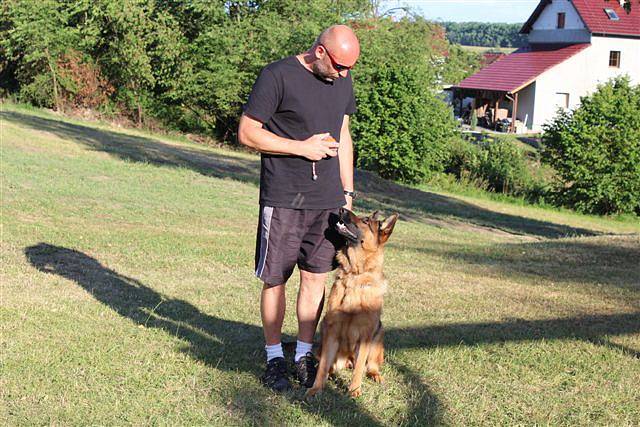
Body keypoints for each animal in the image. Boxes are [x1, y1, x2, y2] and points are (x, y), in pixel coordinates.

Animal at [308, 208, 398, 398]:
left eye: (365, 221)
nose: (341, 209)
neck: (355, 276)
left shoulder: (365, 335)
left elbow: (359, 369)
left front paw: (354, 391)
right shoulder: (332, 331)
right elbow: (323, 366)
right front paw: (316, 388)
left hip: (378, 336)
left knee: (369, 365)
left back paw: (375, 375)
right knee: (328, 364)